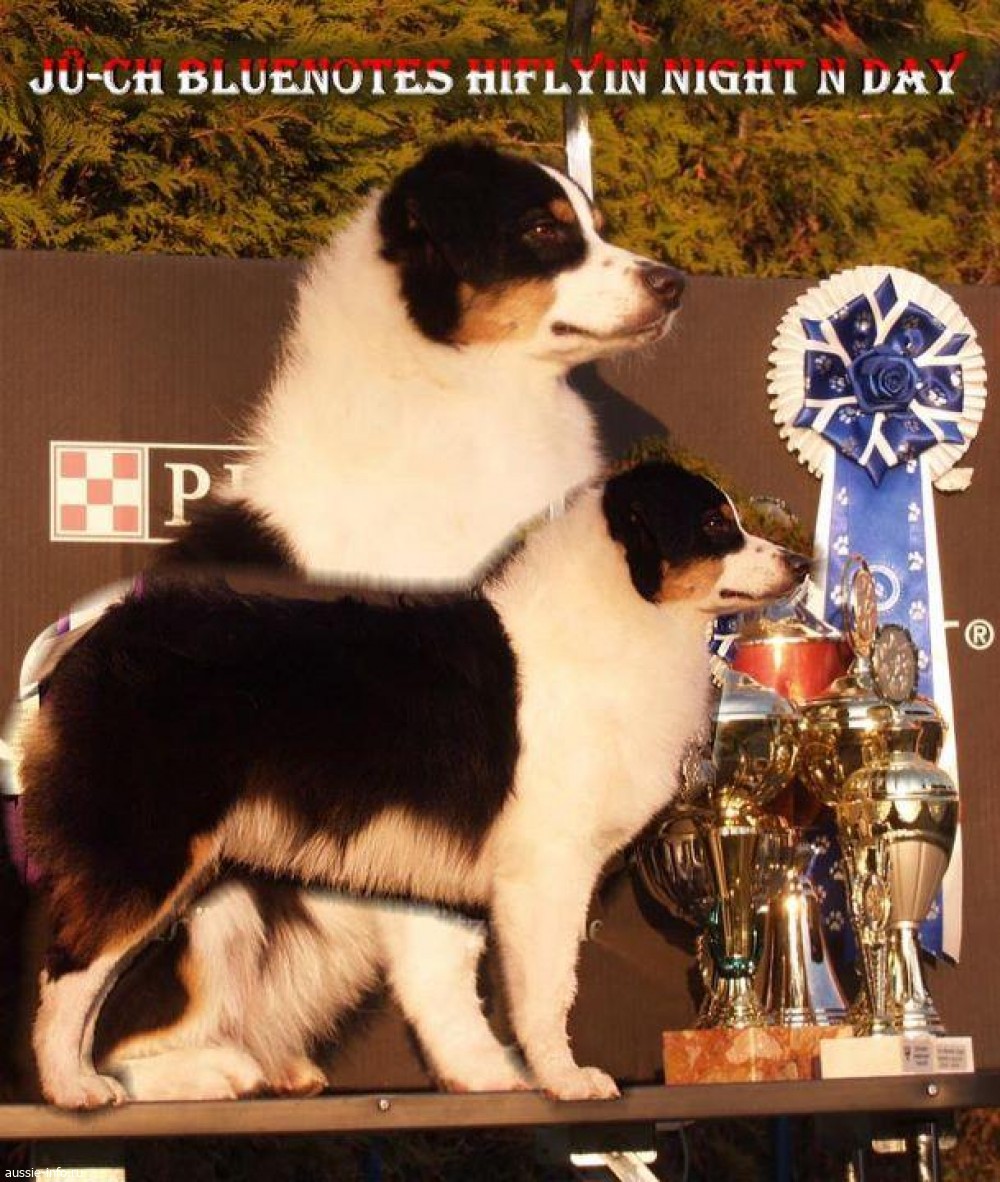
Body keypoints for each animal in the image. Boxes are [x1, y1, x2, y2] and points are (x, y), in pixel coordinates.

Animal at [21, 460, 809, 1109]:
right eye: (715, 524)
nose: (802, 563)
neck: (622, 613)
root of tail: (96, 637)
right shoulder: (547, 867)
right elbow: (548, 988)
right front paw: (565, 1080)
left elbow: (449, 986)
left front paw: (485, 1076)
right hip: (147, 846)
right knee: (70, 973)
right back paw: (79, 1087)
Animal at [67, 139, 687, 1103]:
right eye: (544, 230)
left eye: (594, 223)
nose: (674, 282)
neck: (467, 395)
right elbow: (447, 949)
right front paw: (488, 1068)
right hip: (202, 890)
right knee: (124, 1022)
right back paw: (210, 1071)